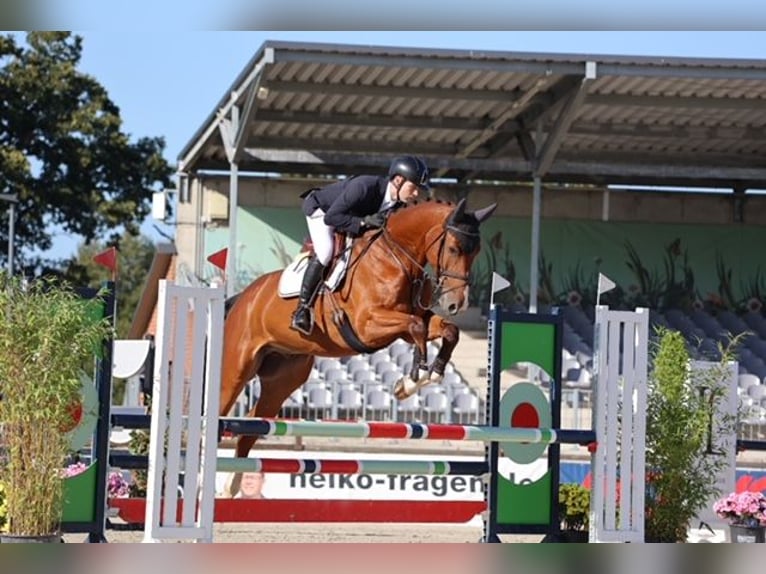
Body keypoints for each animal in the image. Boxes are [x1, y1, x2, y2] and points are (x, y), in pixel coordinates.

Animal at [220, 200, 498, 480]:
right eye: (453, 248)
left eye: (476, 252)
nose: (457, 304)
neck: (396, 257)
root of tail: (243, 297)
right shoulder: (368, 324)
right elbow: (416, 326)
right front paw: (413, 379)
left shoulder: (409, 320)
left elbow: (448, 331)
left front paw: (430, 374)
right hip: (236, 370)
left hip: (283, 379)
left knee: (253, 424)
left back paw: (233, 483)